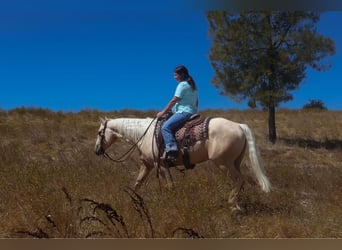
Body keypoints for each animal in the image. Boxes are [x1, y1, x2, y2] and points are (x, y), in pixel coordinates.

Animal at [93, 116, 270, 210]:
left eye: (100, 132)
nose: (96, 150)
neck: (144, 134)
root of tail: (239, 126)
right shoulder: (147, 165)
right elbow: (138, 183)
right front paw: (132, 202)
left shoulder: (161, 165)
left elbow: (170, 186)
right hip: (234, 163)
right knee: (240, 181)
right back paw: (237, 204)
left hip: (223, 163)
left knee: (239, 180)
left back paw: (233, 205)